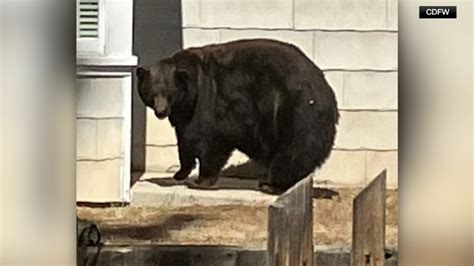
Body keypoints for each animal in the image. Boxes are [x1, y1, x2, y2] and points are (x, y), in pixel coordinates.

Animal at [135, 38, 338, 194]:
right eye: (152, 93)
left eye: (169, 93)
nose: (161, 111)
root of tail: (325, 89)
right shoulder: (184, 114)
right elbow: (185, 140)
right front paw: (180, 173)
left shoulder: (211, 101)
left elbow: (211, 139)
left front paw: (200, 180)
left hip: (294, 111)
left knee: (293, 150)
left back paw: (272, 184)